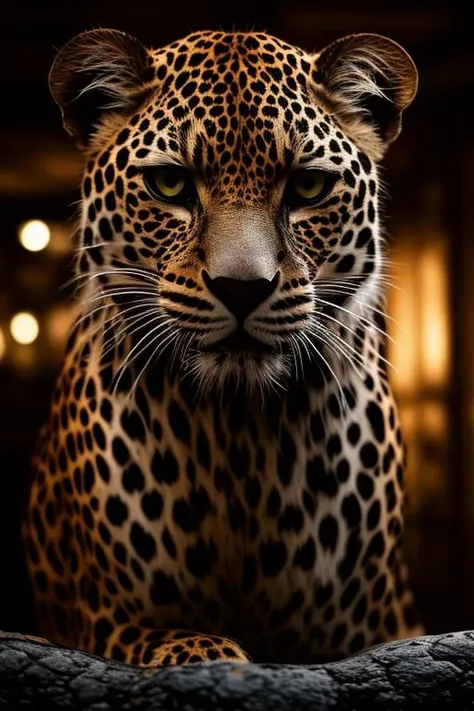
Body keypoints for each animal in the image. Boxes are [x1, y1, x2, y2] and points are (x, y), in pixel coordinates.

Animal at [21, 23, 422, 668]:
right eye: (170, 183)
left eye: (308, 185)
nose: (242, 287)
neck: (240, 440)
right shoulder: (112, 620)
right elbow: (195, 646)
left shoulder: (376, 625)